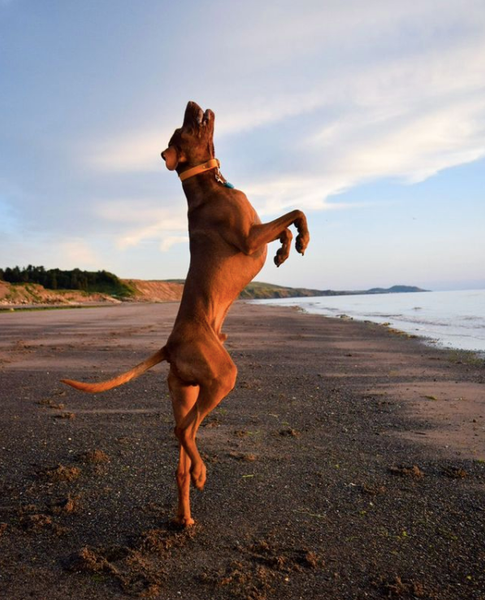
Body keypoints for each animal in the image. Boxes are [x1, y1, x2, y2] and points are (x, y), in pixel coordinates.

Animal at [61, 101, 310, 528]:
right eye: (183, 129)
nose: (192, 104)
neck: (208, 186)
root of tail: (169, 346)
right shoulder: (249, 237)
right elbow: (296, 211)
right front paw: (301, 240)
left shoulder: (257, 231)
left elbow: (287, 224)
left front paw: (285, 250)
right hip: (223, 377)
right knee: (185, 429)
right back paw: (201, 473)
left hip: (189, 390)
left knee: (179, 445)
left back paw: (185, 513)